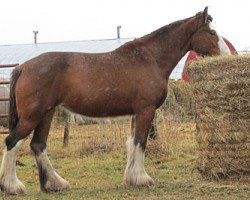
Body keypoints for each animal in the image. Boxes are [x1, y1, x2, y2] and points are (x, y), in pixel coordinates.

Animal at [0, 7, 230, 195]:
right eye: (211, 32)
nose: (226, 55)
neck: (150, 58)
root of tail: (23, 67)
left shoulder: (137, 113)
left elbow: (132, 142)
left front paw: (131, 177)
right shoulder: (146, 110)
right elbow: (141, 142)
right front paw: (142, 178)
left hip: (46, 114)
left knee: (38, 145)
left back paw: (55, 184)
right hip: (33, 116)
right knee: (12, 142)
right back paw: (13, 186)